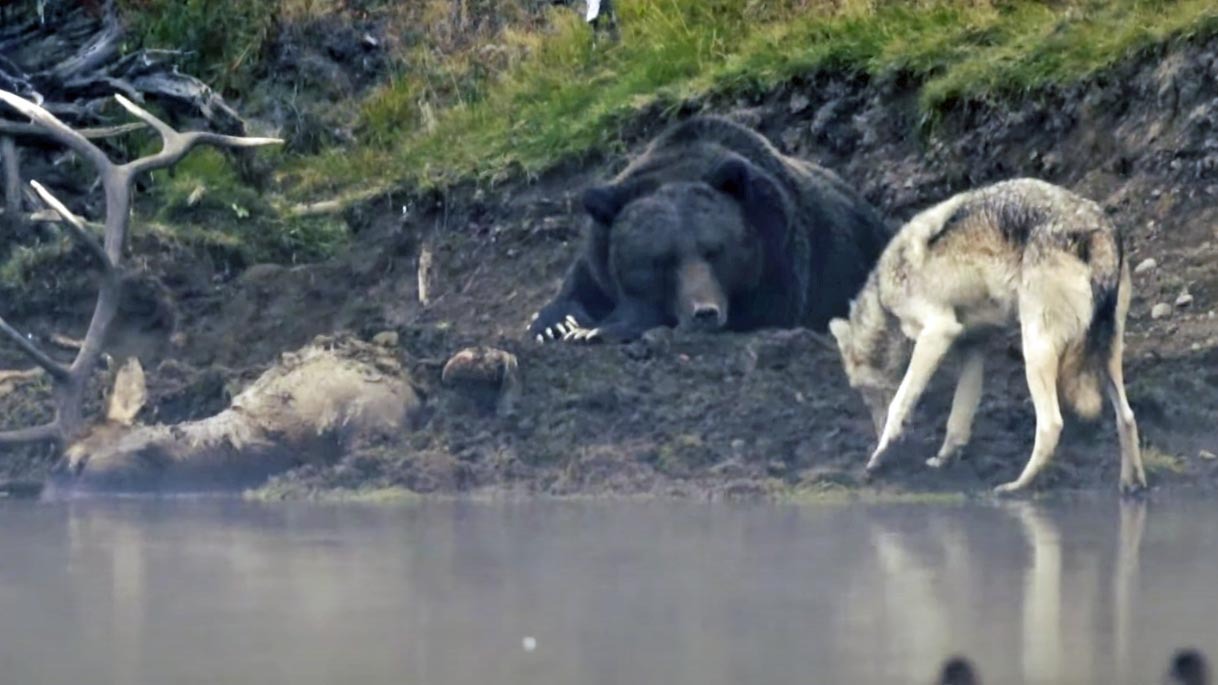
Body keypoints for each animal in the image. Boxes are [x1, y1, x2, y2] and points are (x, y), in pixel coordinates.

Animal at [528, 115, 892, 344]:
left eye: (715, 250)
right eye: (661, 260)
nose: (704, 312)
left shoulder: (779, 257)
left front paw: (597, 330)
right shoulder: (599, 251)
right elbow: (577, 289)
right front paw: (558, 325)